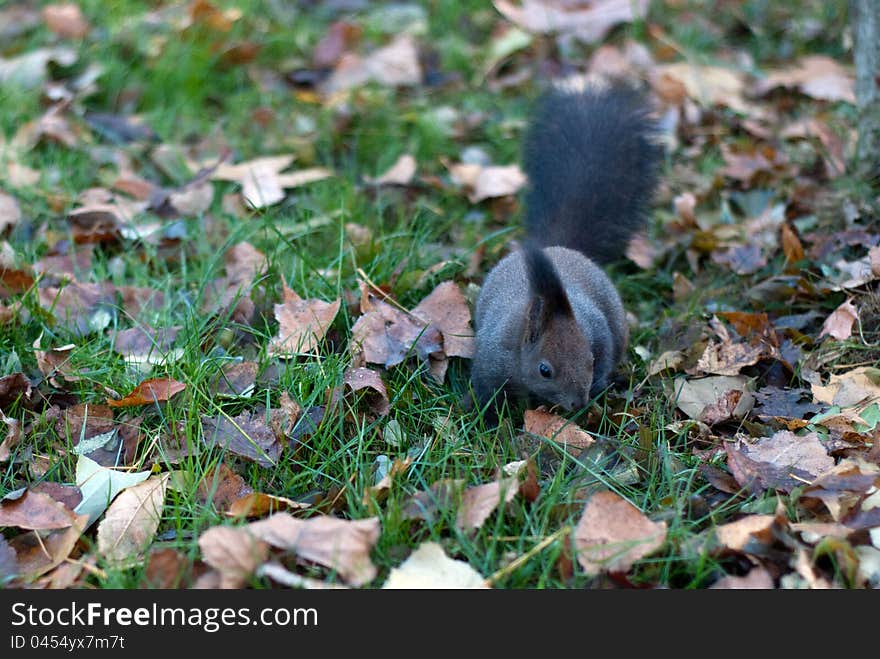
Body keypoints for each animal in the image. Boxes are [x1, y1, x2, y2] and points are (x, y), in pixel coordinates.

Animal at [474, 78, 660, 412]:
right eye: (544, 370)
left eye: (589, 359)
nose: (579, 403)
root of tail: (557, 248)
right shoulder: (490, 359)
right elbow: (486, 393)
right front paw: (488, 418)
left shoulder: (597, 330)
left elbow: (606, 352)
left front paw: (599, 385)